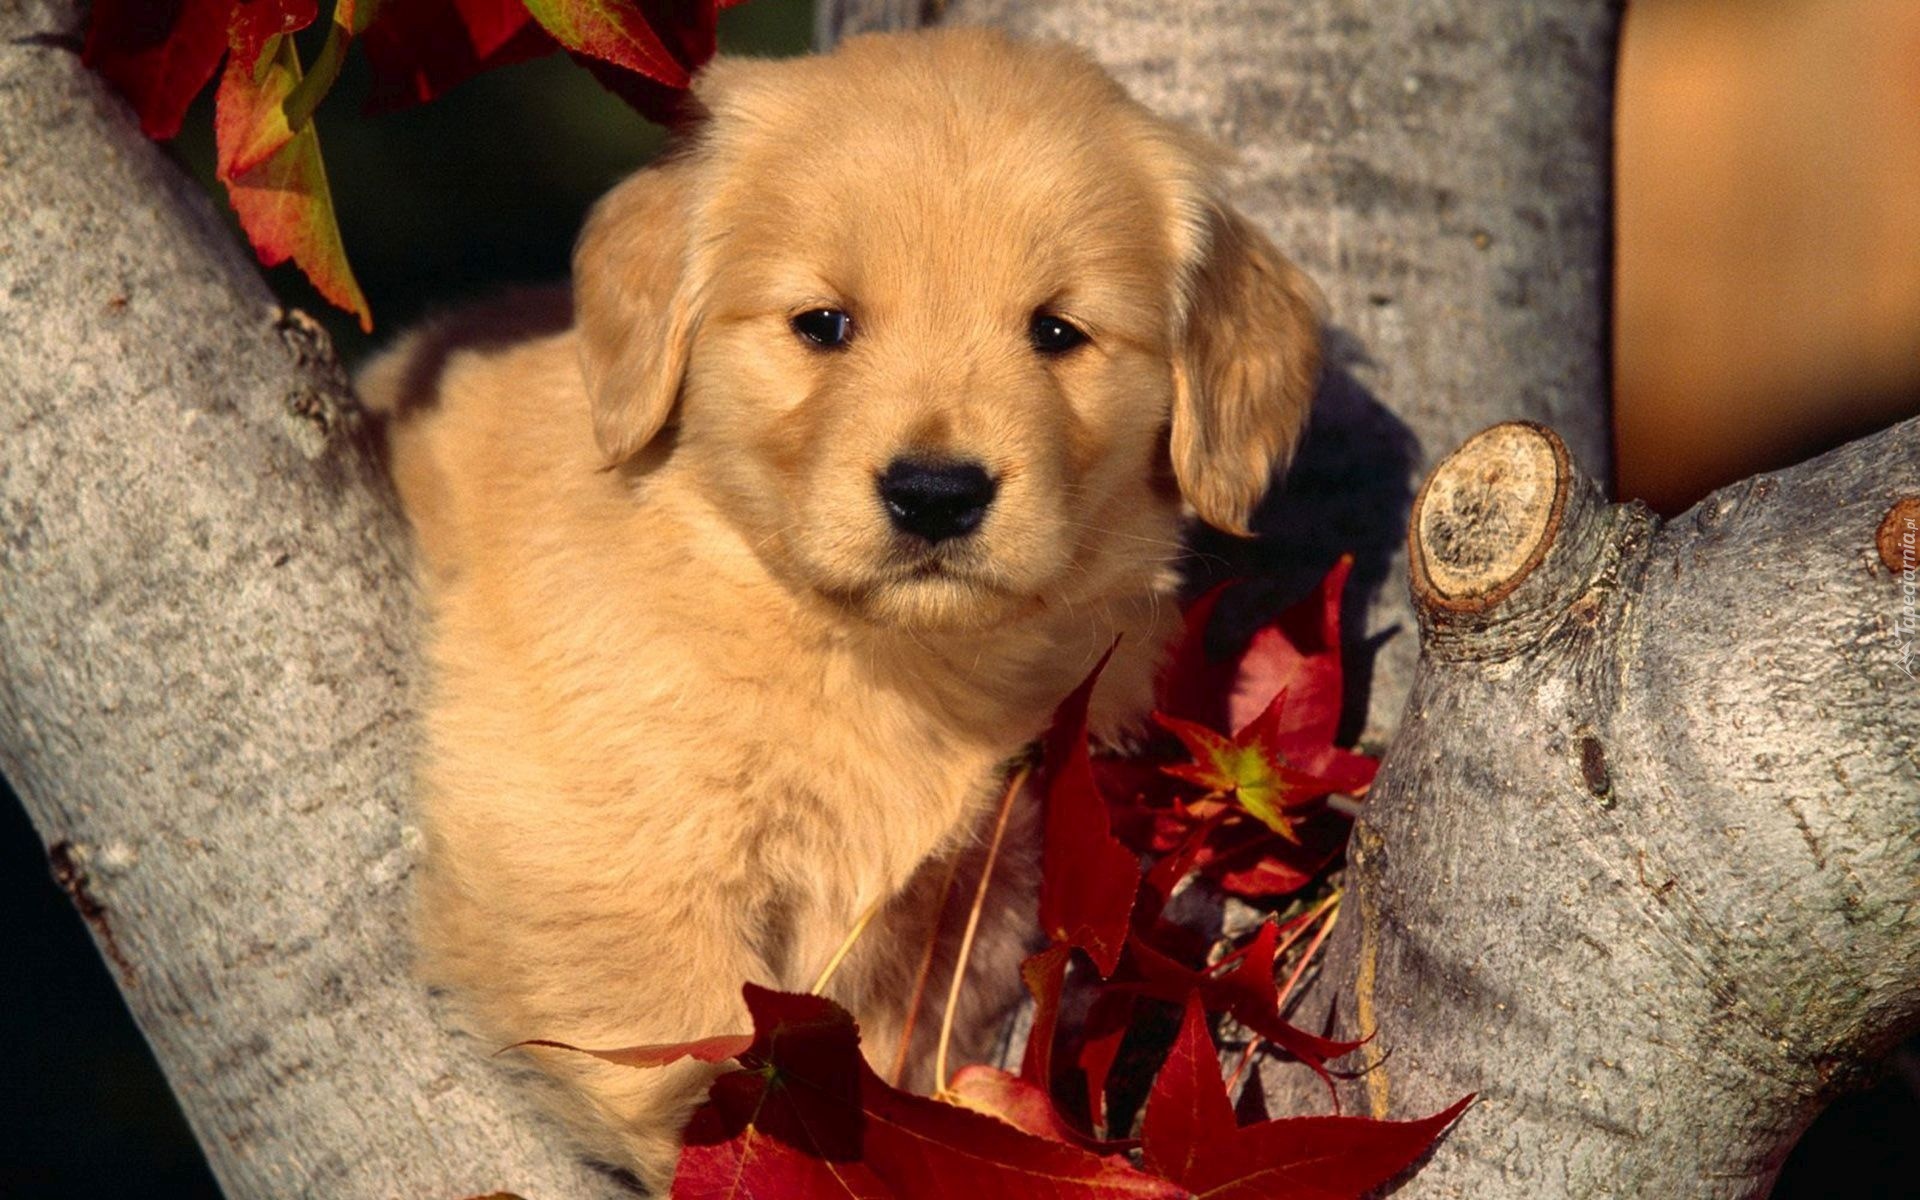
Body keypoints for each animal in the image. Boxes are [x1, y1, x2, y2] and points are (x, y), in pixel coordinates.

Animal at [357, 23, 1320, 1182]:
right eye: (823, 324)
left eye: (1057, 333)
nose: (936, 494)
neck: (869, 653)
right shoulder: (596, 838)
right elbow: (695, 1060)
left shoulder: (978, 894)